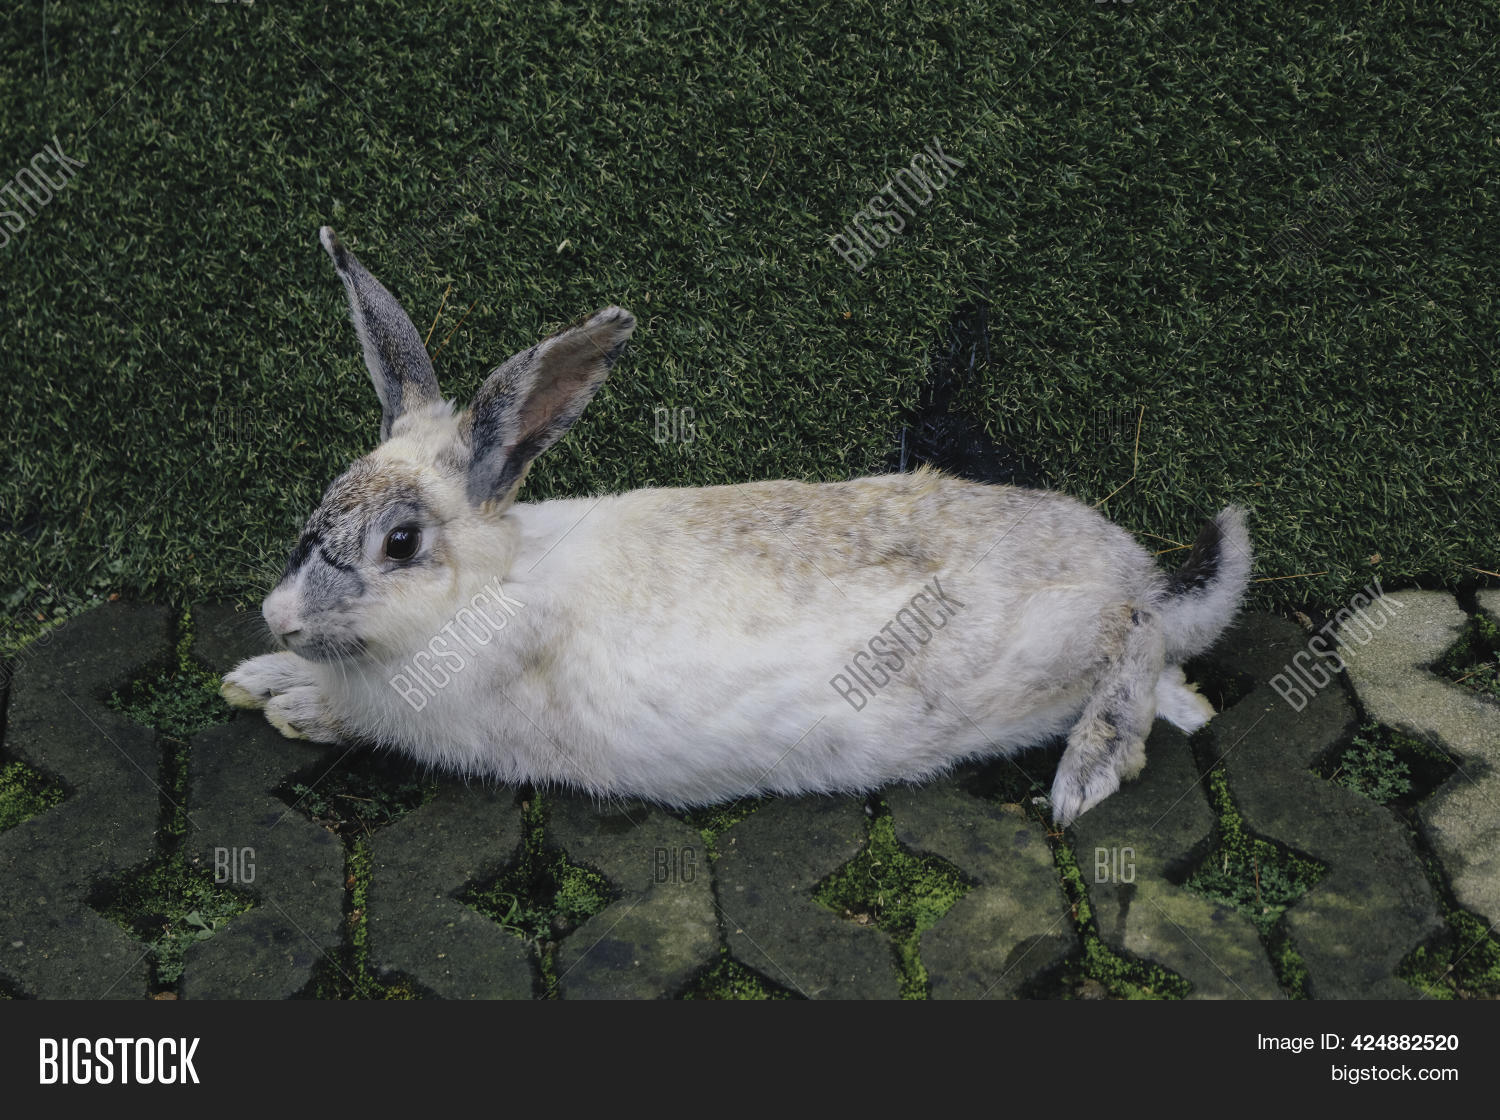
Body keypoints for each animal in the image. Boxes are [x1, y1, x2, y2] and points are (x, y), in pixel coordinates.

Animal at [220, 226, 1252, 826]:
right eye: (322, 503)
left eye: (400, 544)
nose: (280, 617)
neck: (491, 584)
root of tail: (1135, 570)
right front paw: (261, 683)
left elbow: (358, 713)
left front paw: (289, 698)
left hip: (1062, 633)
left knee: (1137, 638)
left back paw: (1088, 774)